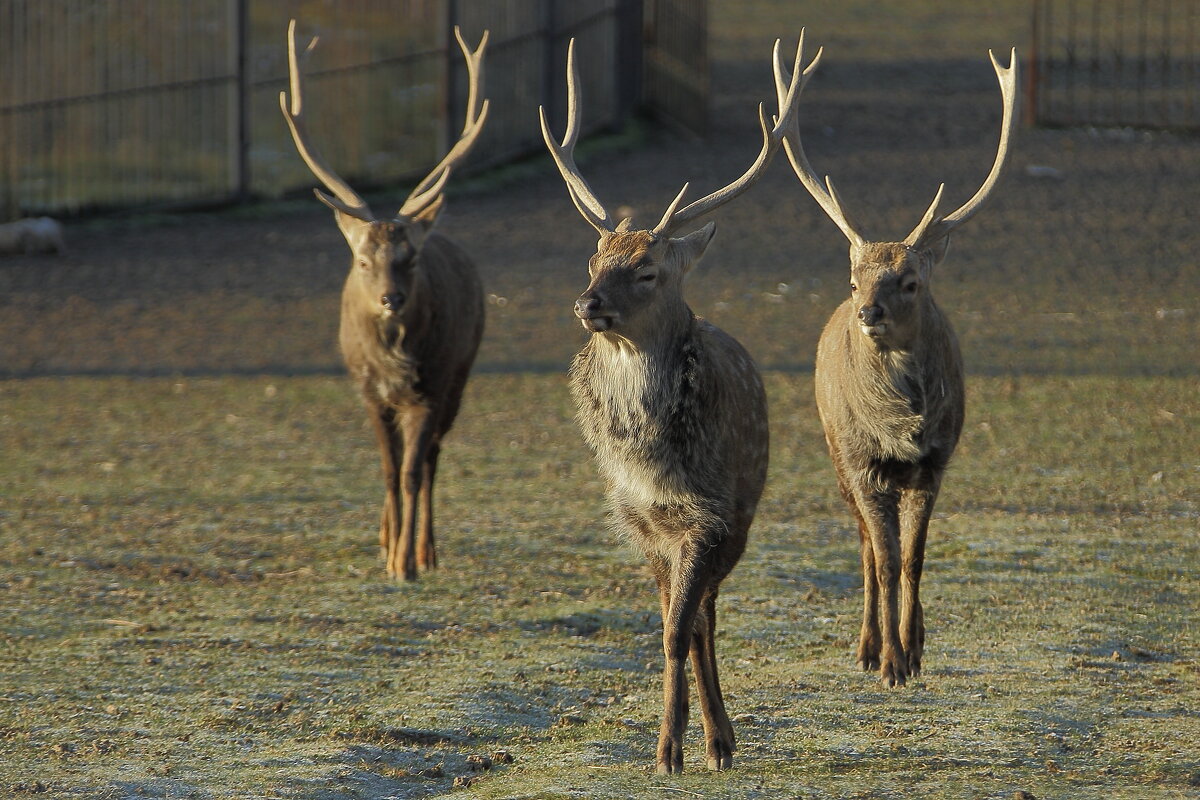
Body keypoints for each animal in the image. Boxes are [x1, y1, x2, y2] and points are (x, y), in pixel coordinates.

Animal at [280, 18, 487, 582]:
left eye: (410, 258)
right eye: (363, 261)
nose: (391, 299)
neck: (394, 359)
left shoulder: (431, 388)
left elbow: (415, 472)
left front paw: (405, 562)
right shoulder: (368, 392)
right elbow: (390, 471)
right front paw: (388, 547)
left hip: (460, 374)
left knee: (434, 457)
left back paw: (426, 550)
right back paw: (384, 536)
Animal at [542, 34, 816, 772]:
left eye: (646, 271)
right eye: (591, 261)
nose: (586, 303)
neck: (653, 463)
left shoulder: (709, 516)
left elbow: (678, 630)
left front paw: (672, 749)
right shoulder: (641, 523)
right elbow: (671, 625)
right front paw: (670, 741)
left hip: (742, 514)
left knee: (707, 616)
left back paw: (721, 740)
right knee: (696, 619)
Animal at [772, 47, 1017, 690]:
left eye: (910, 281)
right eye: (854, 278)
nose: (867, 312)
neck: (900, 429)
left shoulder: (936, 462)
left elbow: (913, 558)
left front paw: (913, 649)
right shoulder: (863, 463)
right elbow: (883, 559)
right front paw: (889, 661)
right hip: (835, 451)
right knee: (861, 543)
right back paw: (864, 646)